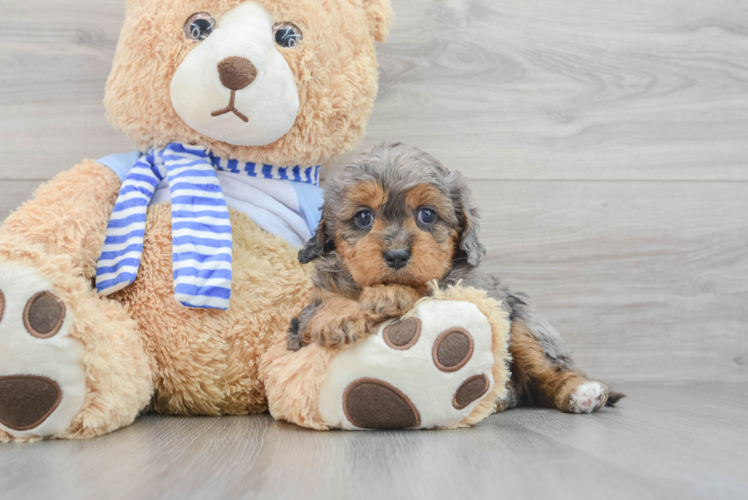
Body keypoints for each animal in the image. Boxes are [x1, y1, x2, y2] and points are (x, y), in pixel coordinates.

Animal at [290, 142, 624, 414]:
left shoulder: (466, 291)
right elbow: (325, 306)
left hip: (521, 324)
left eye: (427, 215)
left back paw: (581, 392)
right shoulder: (301, 327)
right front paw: (340, 315)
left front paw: (386, 294)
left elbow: (422, 288)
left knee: (547, 369)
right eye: (363, 217)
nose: (397, 255)